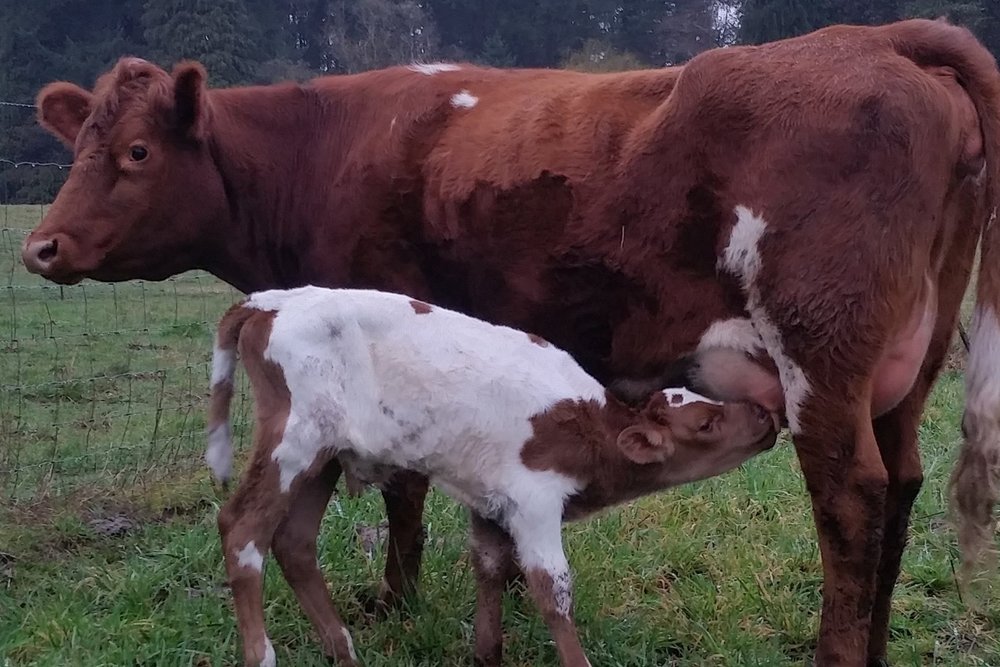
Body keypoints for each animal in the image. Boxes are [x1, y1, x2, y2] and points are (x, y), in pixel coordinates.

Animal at [207, 284, 776, 664]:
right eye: (705, 423)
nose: (765, 418)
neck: (588, 427)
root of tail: (268, 302)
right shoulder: (535, 502)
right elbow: (553, 591)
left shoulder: (488, 501)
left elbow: (489, 566)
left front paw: (486, 653)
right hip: (295, 438)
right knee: (242, 529)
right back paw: (262, 654)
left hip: (324, 452)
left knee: (295, 541)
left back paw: (342, 650)